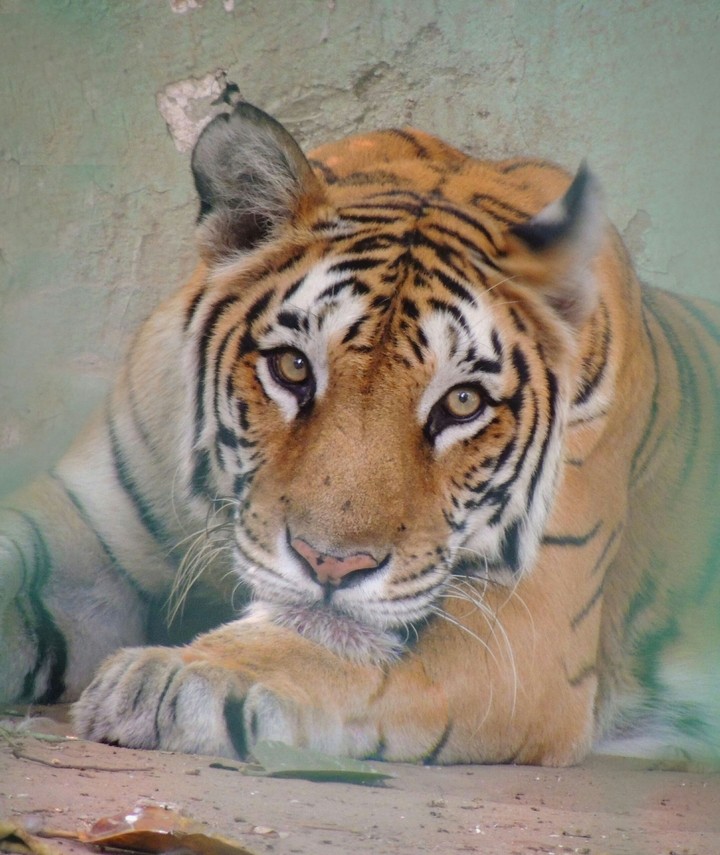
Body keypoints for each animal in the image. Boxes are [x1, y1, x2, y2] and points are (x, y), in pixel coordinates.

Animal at [0, 100, 718, 767]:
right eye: (293, 367)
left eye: (462, 402)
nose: (331, 564)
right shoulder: (86, 535)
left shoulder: (524, 628)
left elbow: (319, 644)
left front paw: (175, 676)